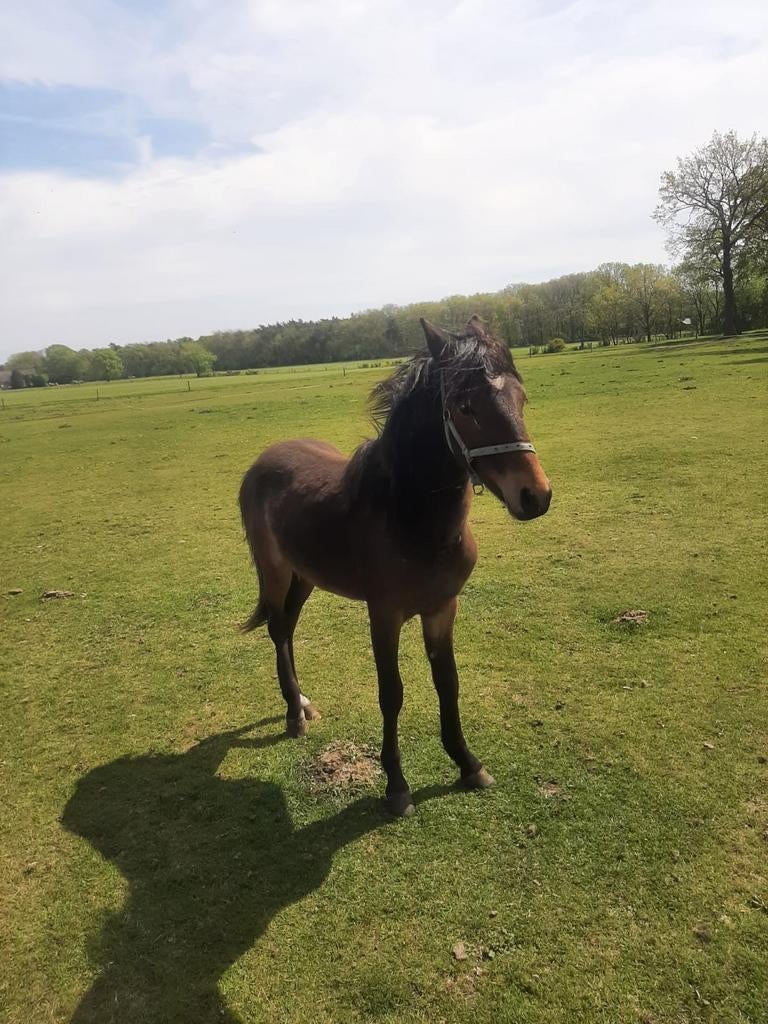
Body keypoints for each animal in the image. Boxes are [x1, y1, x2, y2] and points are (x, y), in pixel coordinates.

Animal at [239, 315, 552, 816]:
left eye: (521, 398)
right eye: (465, 407)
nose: (535, 496)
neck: (410, 520)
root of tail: (263, 462)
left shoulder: (442, 608)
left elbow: (448, 683)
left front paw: (467, 764)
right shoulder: (383, 615)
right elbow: (392, 693)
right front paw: (397, 785)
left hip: (305, 576)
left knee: (286, 627)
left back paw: (302, 703)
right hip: (275, 571)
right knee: (275, 627)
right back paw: (293, 714)